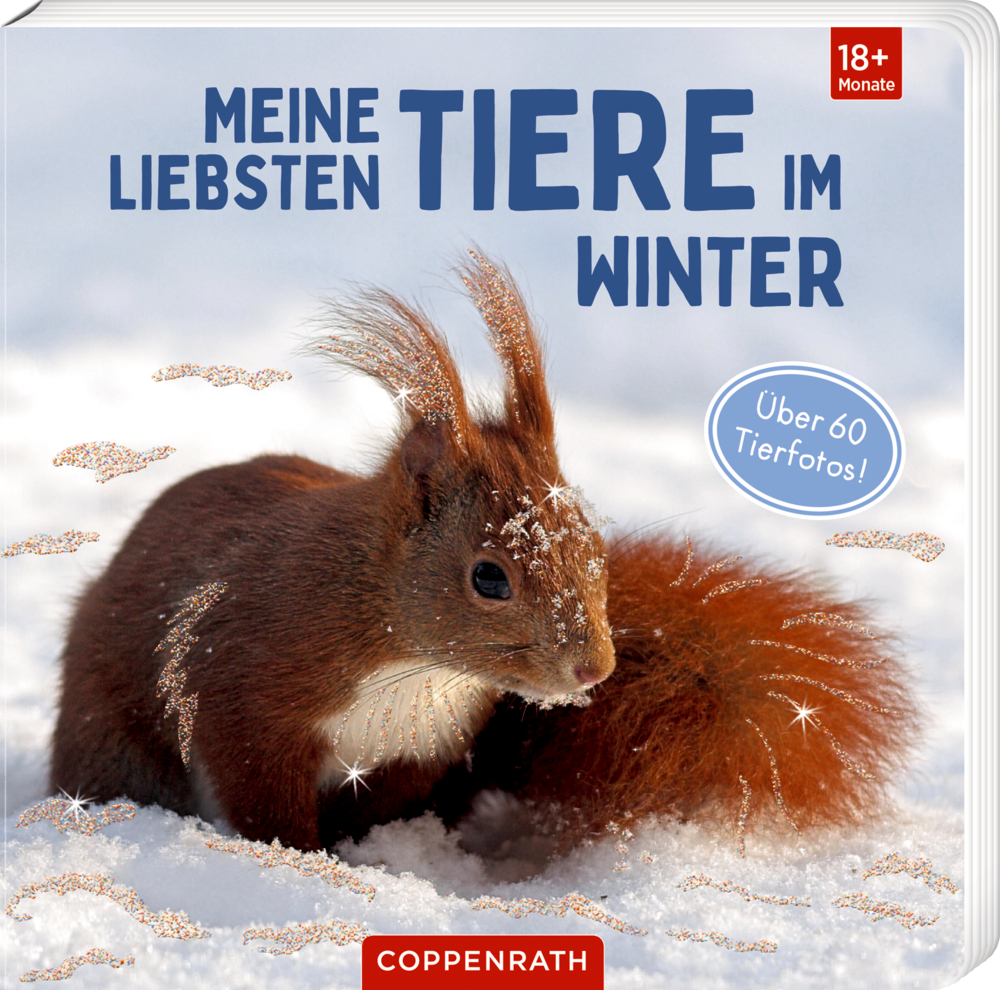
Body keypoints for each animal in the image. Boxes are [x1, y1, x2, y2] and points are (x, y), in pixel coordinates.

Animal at [49, 253, 616, 852]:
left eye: (596, 546)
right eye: (488, 578)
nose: (594, 669)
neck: (408, 660)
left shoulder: (418, 749)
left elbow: (372, 811)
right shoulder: (244, 697)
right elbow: (262, 798)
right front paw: (298, 856)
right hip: (108, 734)